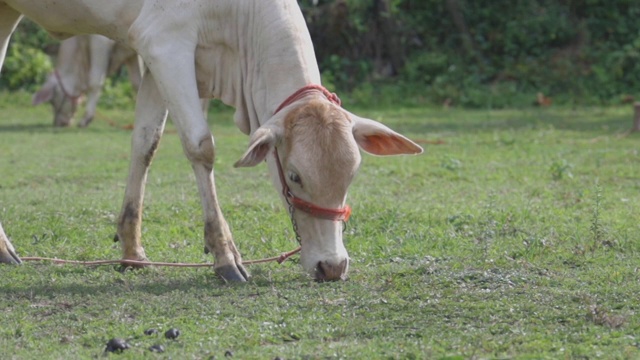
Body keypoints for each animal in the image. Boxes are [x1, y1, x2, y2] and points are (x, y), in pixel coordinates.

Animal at [0, 0, 422, 282]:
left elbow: (146, 142)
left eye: (352, 175)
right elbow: (200, 145)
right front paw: (225, 256)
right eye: (296, 176)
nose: (332, 266)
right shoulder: (165, 45)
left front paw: (132, 251)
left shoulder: (154, 58)